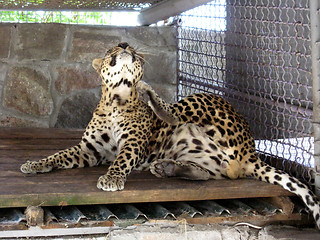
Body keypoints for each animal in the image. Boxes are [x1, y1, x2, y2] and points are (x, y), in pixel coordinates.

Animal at [20, 43, 320, 229]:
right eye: (110, 49)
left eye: (127, 46)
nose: (125, 44)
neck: (117, 98)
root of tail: (252, 152)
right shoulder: (89, 150)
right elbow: (60, 154)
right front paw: (35, 164)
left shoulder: (133, 143)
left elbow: (122, 159)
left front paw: (112, 179)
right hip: (206, 157)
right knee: (217, 173)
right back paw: (167, 167)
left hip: (199, 101)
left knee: (172, 111)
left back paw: (151, 96)